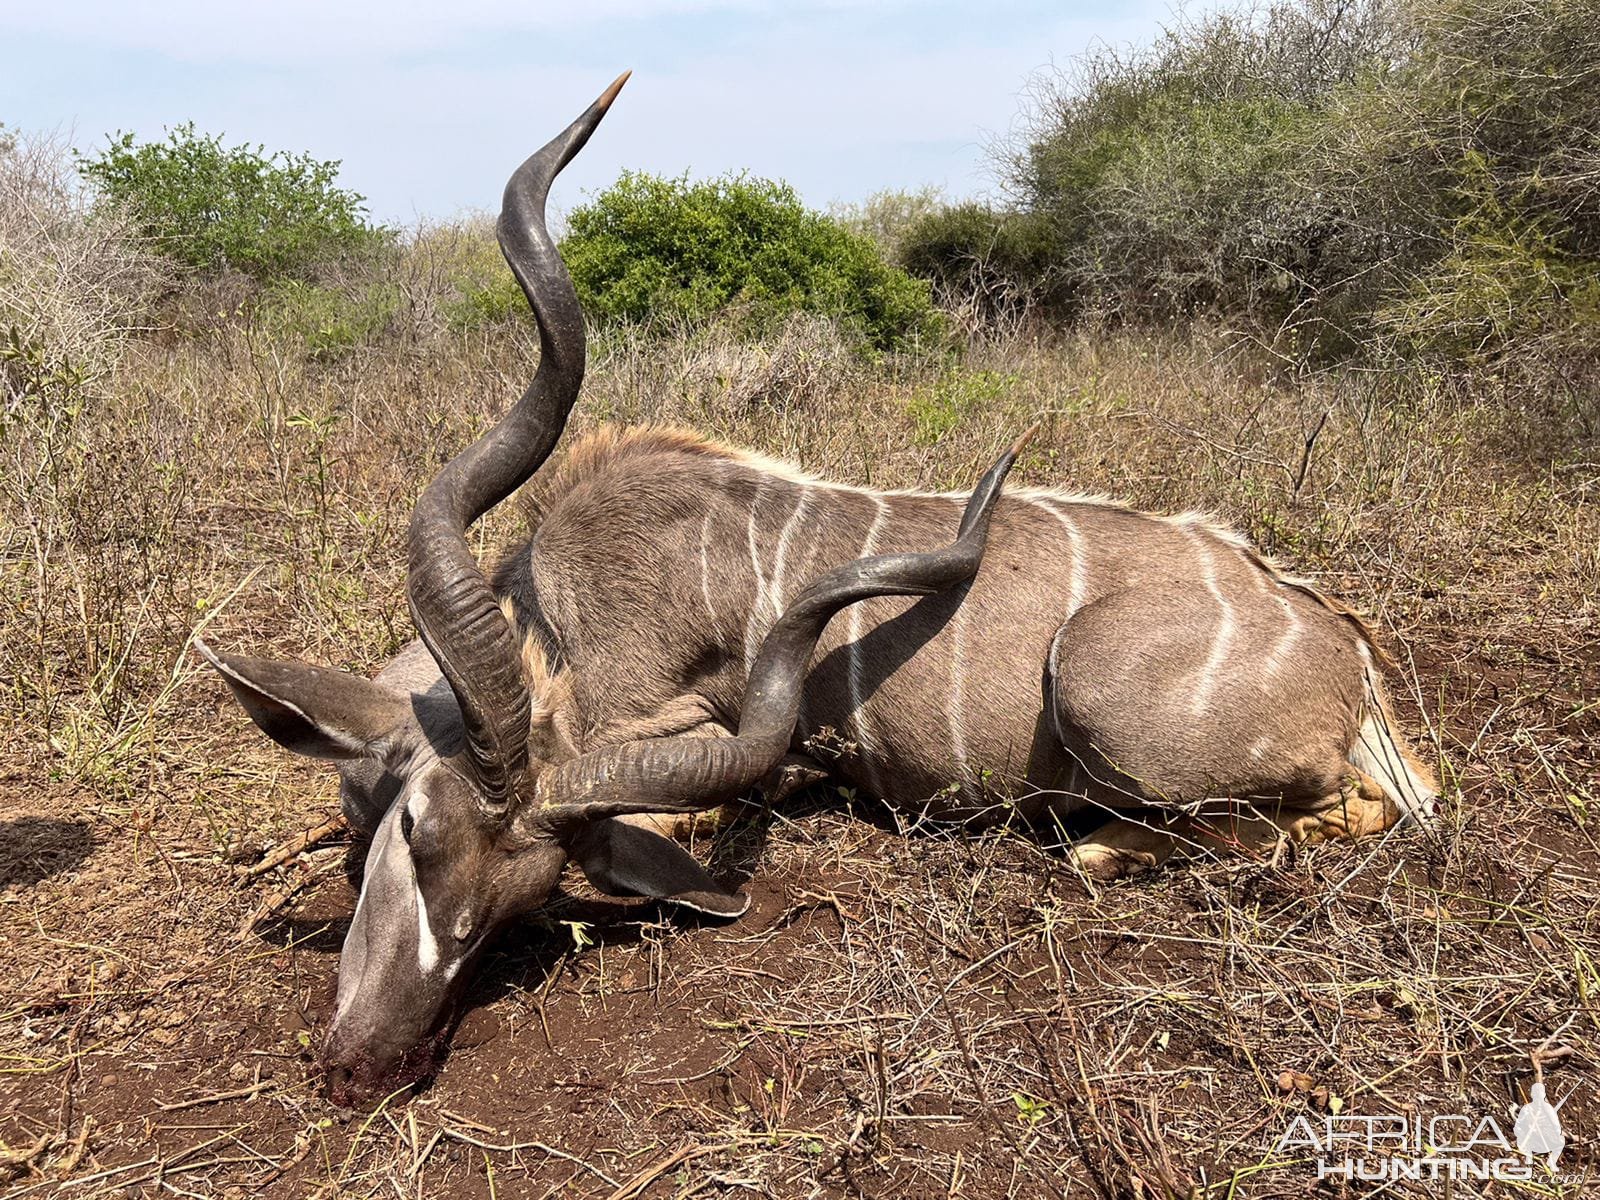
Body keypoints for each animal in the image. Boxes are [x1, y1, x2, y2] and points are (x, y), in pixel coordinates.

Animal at [196, 75, 1440, 1107]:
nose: (366, 1066)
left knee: (1343, 815)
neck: (560, 617)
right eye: (413, 832)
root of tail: (1343, 653)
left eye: (520, 903)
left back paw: (1103, 847)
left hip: (1102, 698)